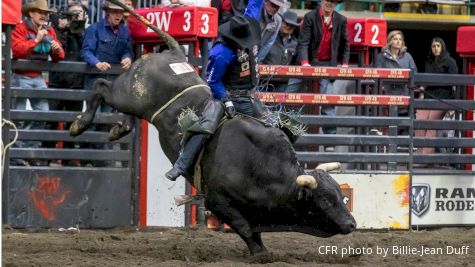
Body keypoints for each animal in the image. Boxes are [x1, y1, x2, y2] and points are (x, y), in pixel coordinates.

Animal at [69, 0, 354, 255]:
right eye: (325, 200)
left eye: (340, 194)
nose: (352, 223)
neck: (265, 168)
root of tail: (172, 53)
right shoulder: (218, 202)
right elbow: (245, 228)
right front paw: (260, 254)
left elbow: (254, 230)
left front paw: (260, 249)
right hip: (128, 93)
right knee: (102, 86)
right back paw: (78, 125)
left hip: (135, 103)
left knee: (124, 111)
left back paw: (119, 128)